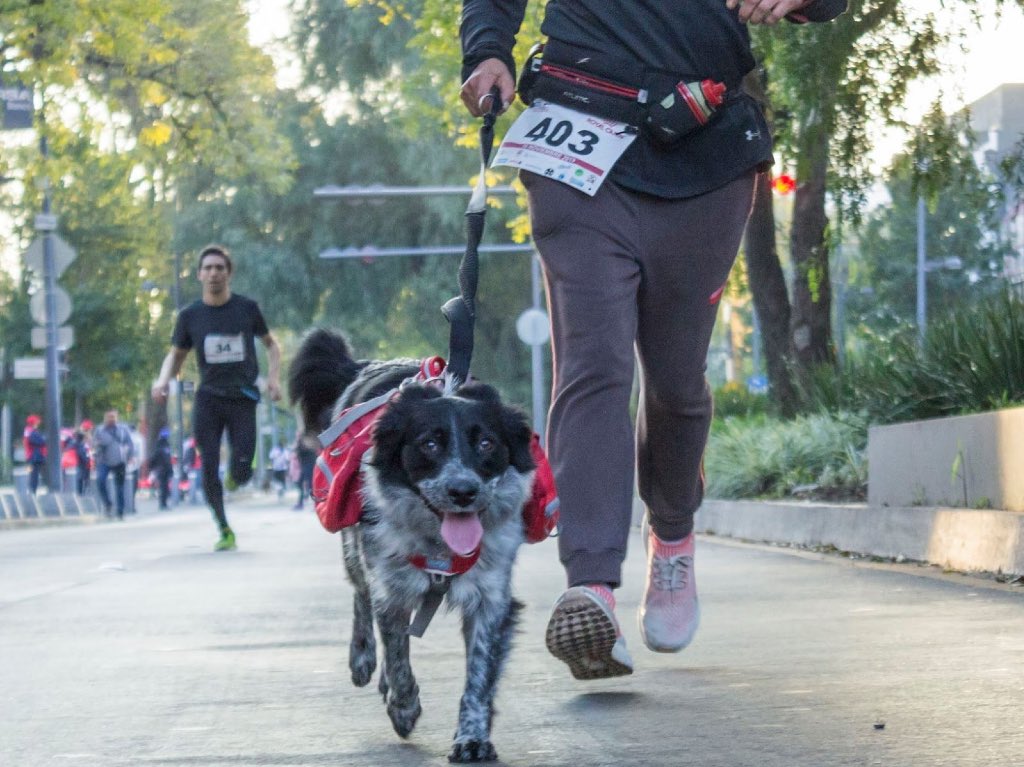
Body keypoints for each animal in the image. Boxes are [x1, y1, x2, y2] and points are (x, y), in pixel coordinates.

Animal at [288, 327, 536, 761]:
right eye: (429, 444)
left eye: (487, 444)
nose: (463, 492)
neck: (438, 541)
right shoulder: (392, 585)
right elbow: (397, 653)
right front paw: (403, 708)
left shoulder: (490, 596)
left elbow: (479, 673)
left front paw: (472, 737)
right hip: (356, 550)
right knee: (362, 597)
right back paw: (363, 659)